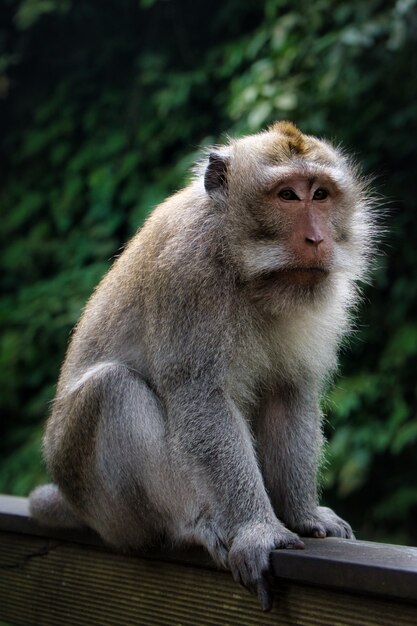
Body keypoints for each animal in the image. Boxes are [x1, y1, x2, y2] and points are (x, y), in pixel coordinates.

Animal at [29, 119, 374, 608]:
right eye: (288, 195)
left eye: (321, 194)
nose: (317, 239)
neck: (242, 263)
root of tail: (71, 499)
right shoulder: (187, 275)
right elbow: (203, 399)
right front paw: (258, 530)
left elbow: (288, 395)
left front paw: (302, 514)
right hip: (96, 495)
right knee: (112, 389)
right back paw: (193, 525)